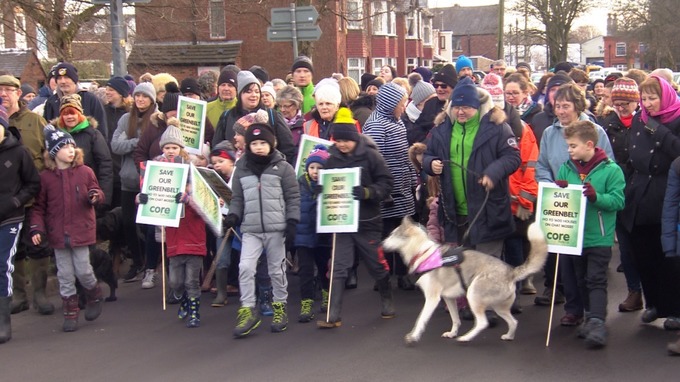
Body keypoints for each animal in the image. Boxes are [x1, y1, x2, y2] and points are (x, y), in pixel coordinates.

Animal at [382, 216, 548, 344]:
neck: (423, 253)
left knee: (482, 323)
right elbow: (456, 319)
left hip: (473, 295)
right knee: (513, 321)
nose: (381, 245)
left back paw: (466, 338)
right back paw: (508, 336)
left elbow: (420, 319)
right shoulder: (448, 298)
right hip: (499, 307)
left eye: (392, 235)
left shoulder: (432, 298)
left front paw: (414, 336)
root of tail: (511, 272)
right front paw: (452, 333)